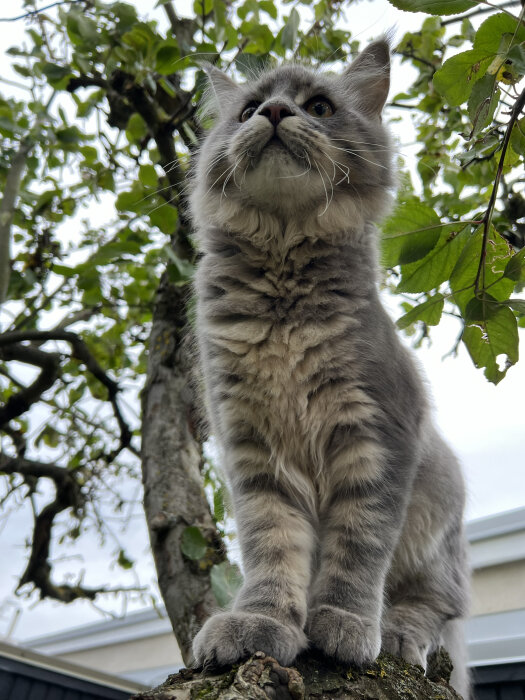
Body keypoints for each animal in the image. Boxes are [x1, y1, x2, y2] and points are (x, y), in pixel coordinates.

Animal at [190, 39, 468, 700]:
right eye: (247, 111)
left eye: (318, 106)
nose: (275, 113)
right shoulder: (253, 450)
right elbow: (272, 548)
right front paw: (263, 622)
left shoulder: (378, 432)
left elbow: (357, 543)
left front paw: (343, 622)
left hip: (438, 521)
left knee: (436, 604)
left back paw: (397, 633)